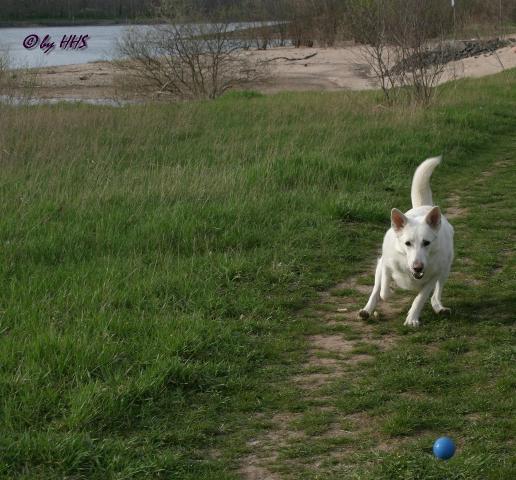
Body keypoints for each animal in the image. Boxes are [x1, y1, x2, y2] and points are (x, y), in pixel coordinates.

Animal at [359, 156, 454, 327]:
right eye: (407, 243)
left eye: (426, 243)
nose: (417, 267)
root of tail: (424, 206)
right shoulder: (386, 264)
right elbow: (384, 291)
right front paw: (390, 291)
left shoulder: (433, 276)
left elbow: (420, 298)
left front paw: (412, 318)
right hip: (379, 266)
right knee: (376, 291)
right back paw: (367, 310)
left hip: (445, 270)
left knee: (436, 294)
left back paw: (439, 307)